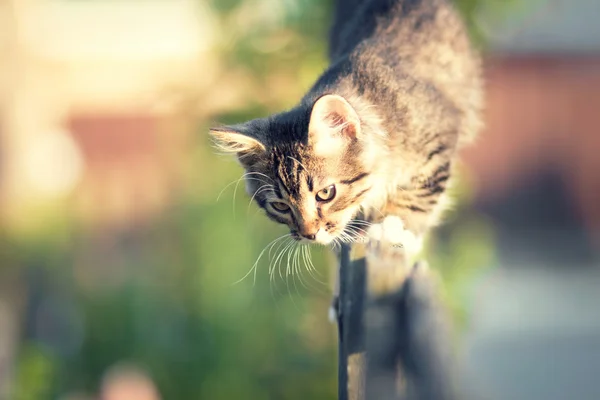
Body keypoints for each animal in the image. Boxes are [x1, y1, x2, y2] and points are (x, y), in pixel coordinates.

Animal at [211, 0, 482, 250]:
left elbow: (416, 197)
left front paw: (392, 226)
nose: (309, 234)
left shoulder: (440, 140)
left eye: (325, 193)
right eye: (280, 206)